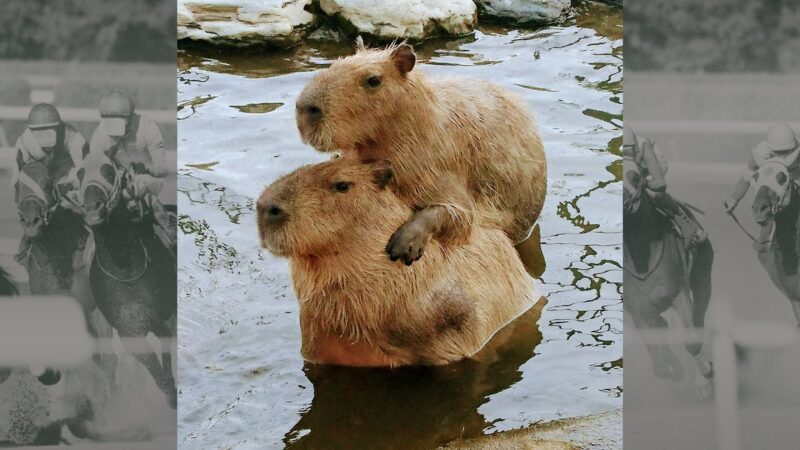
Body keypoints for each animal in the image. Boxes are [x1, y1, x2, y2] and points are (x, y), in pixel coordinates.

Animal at [77, 153, 177, 409]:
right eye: (80, 174)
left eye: (109, 171)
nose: (93, 208)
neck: (125, 272)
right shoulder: (129, 330)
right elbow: (155, 370)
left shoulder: (163, 318)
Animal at [623, 154, 715, 398]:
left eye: (634, 177)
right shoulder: (638, 311)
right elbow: (659, 367)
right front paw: (674, 369)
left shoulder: (678, 294)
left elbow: (691, 341)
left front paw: (704, 375)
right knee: (661, 325)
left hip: (703, 279)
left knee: (698, 320)